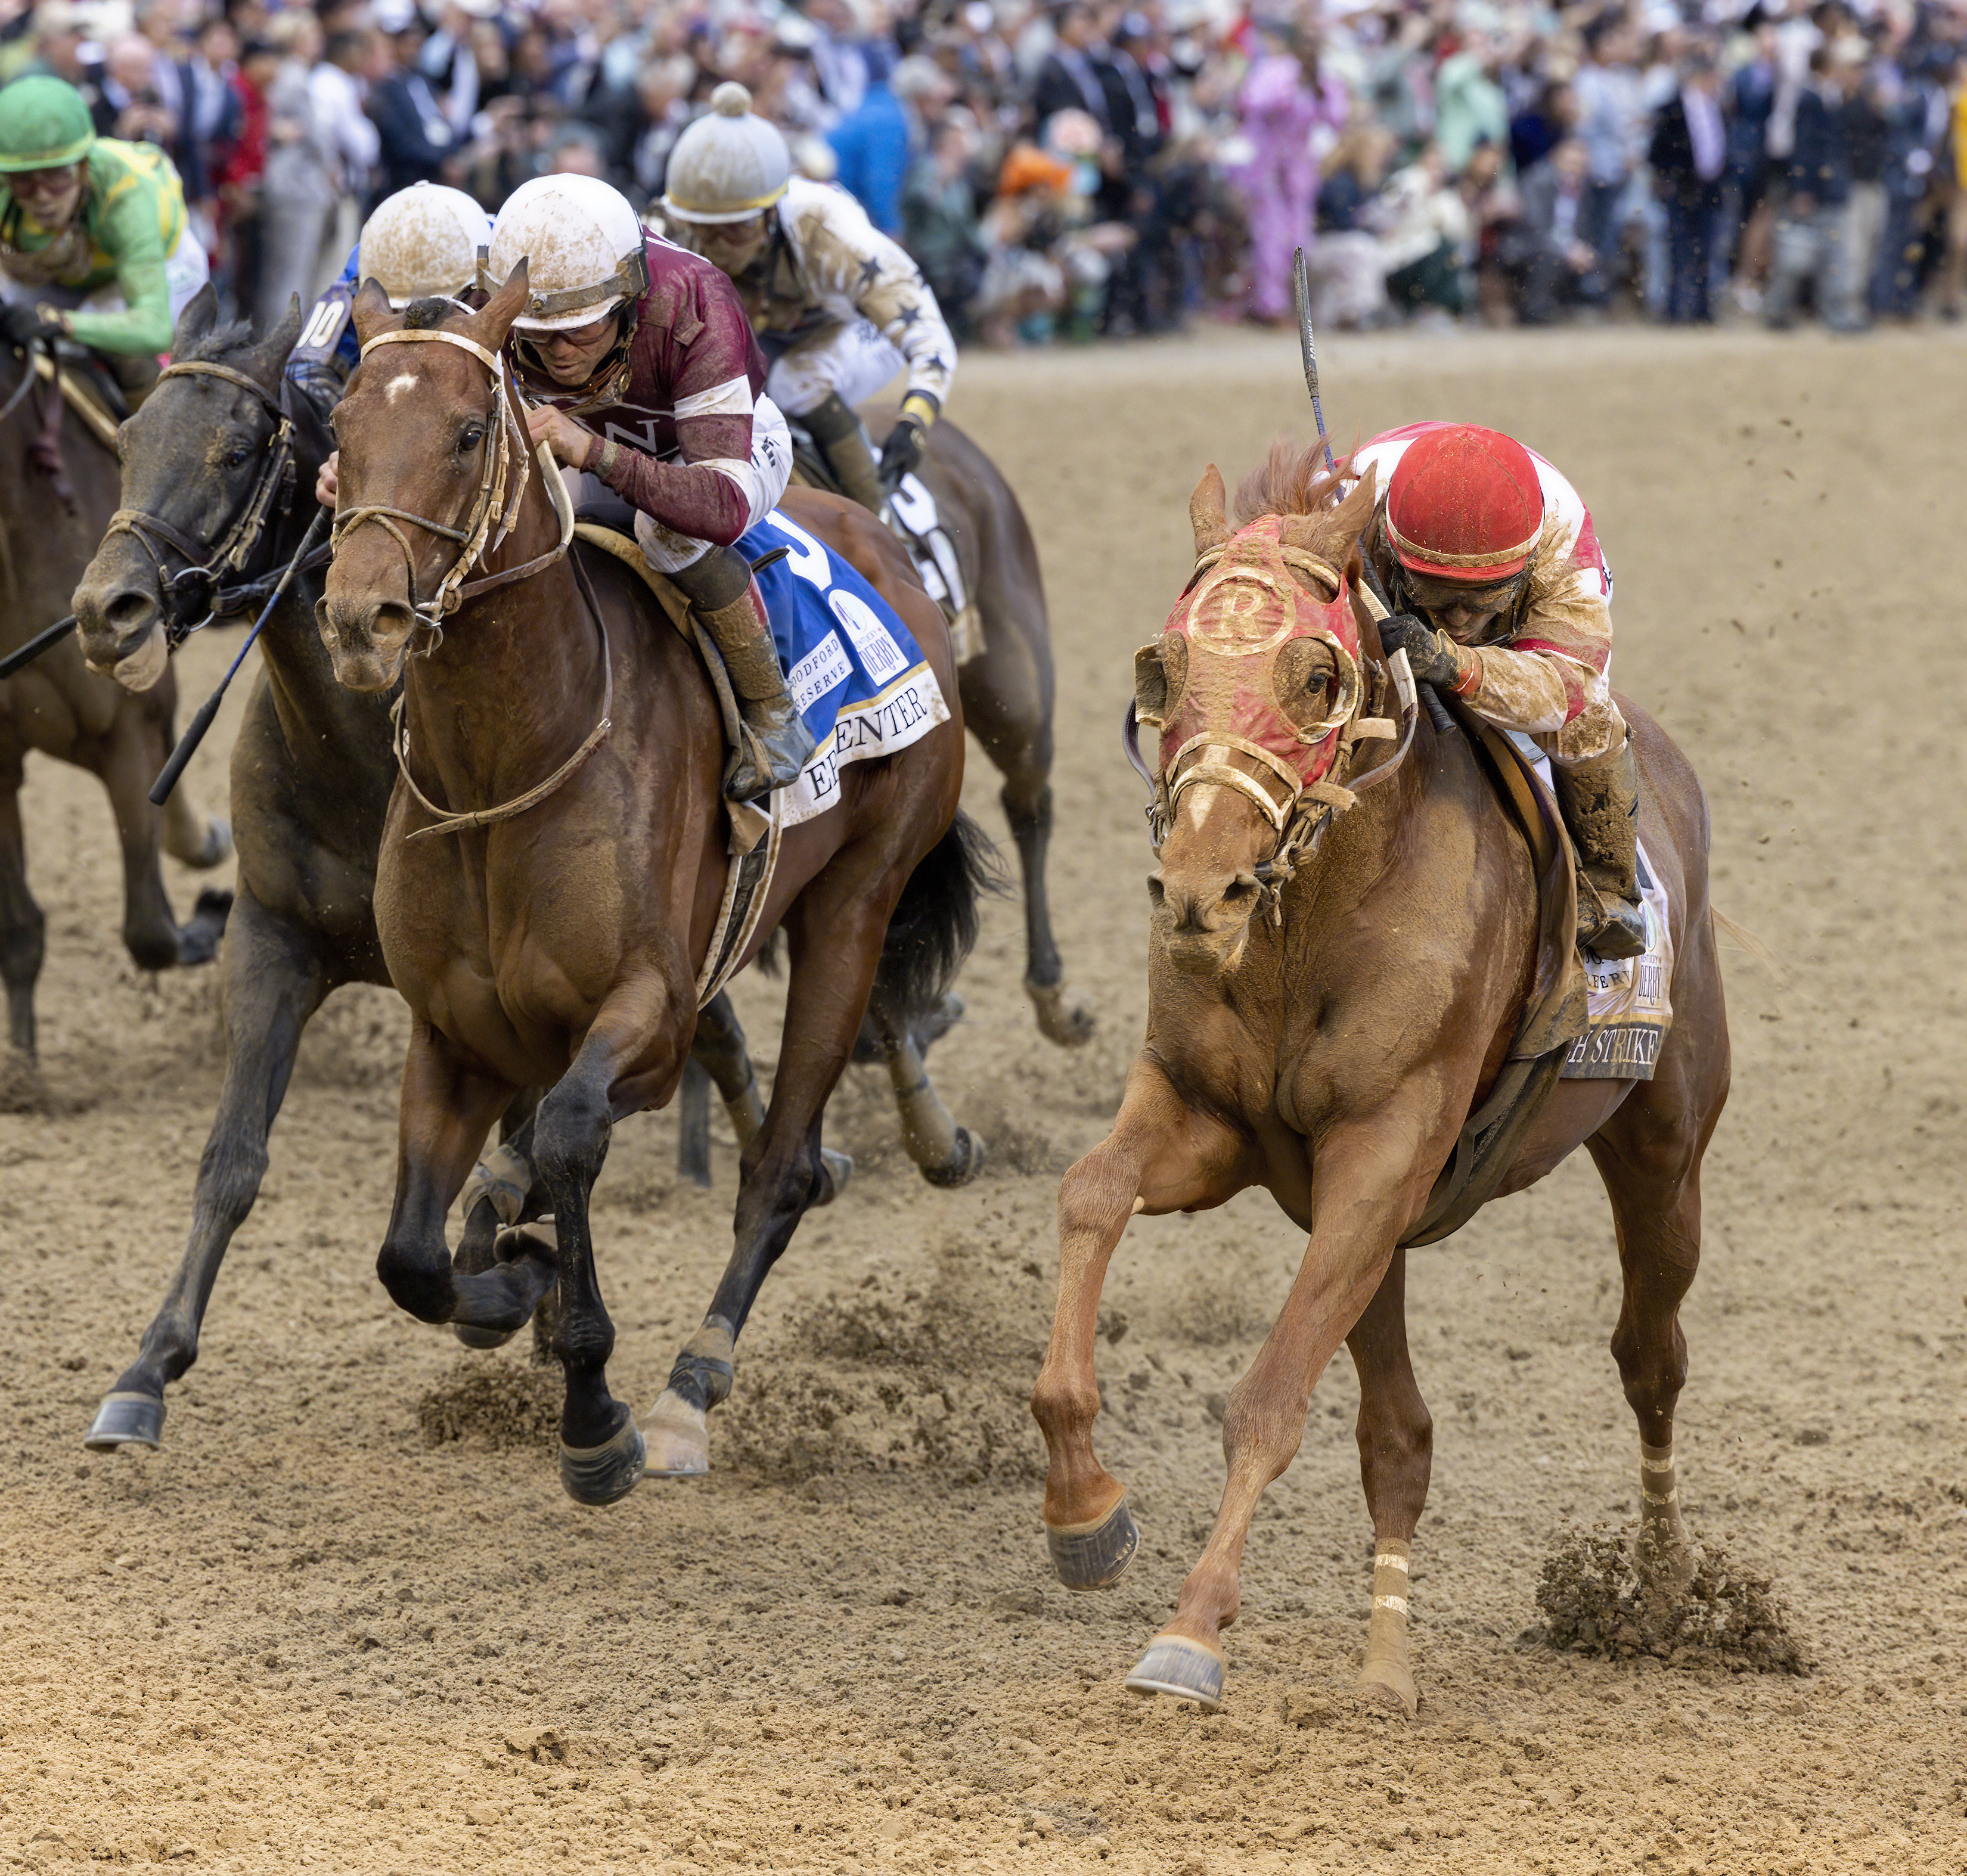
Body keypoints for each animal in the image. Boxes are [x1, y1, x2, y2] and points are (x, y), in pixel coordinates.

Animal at [0, 330, 230, 1061]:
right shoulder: (0, 762)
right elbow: (21, 930)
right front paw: (23, 1066)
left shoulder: (129, 733)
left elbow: (150, 929)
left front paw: (206, 919)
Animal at [320, 263, 984, 1502]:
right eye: (339, 430)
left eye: (471, 431)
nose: (358, 617)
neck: (510, 765)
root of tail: (880, 544)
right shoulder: (452, 1033)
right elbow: (409, 1257)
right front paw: (506, 1279)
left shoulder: (649, 1014)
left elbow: (574, 1132)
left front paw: (593, 1411)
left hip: (854, 905)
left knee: (781, 1166)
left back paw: (688, 1388)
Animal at [1023, 450, 1731, 1715]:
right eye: (1163, 664)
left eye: (1316, 673)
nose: (1199, 894)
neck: (1312, 916)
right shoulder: (1215, 1119)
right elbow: (1091, 1191)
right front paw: (1084, 1511)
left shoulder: (1385, 1145)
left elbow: (1268, 1397)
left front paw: (1191, 1630)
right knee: (1400, 1432)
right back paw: (1386, 1661)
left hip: (1664, 1149)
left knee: (1651, 1358)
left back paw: (1657, 1590)